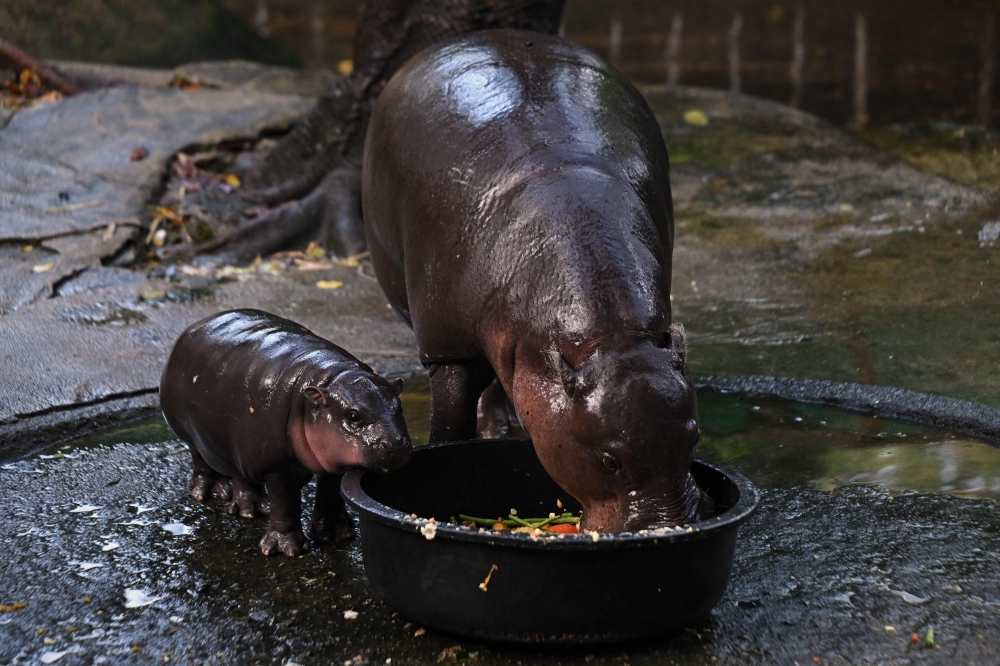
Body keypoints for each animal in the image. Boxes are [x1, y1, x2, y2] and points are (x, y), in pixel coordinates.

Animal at [160, 309, 411, 556]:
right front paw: (285, 549)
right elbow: (285, 505)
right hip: (192, 434)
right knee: (201, 459)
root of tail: (197, 325)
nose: (396, 444)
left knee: (240, 473)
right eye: (353, 416)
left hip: (237, 442)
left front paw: (335, 534)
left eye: (399, 408)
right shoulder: (278, 467)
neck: (329, 379)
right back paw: (214, 493)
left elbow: (330, 490)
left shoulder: (332, 458)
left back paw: (250, 509)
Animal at [362, 30, 711, 533]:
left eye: (694, 439)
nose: (662, 526)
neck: (610, 338)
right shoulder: (447, 346)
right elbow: (449, 421)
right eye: (609, 461)